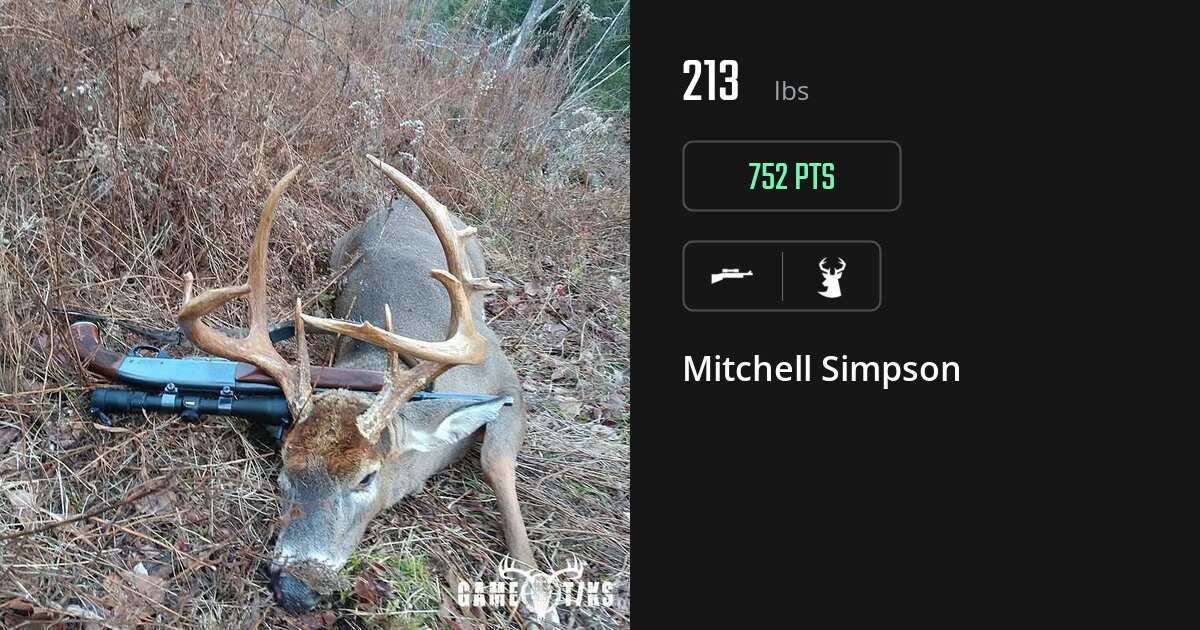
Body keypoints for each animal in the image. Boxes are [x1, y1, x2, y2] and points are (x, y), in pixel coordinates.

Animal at [175, 155, 537, 614]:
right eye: (284, 467)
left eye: (367, 477)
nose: (296, 587)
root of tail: (398, 202)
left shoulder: (505, 375)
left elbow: (494, 459)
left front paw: (536, 588)